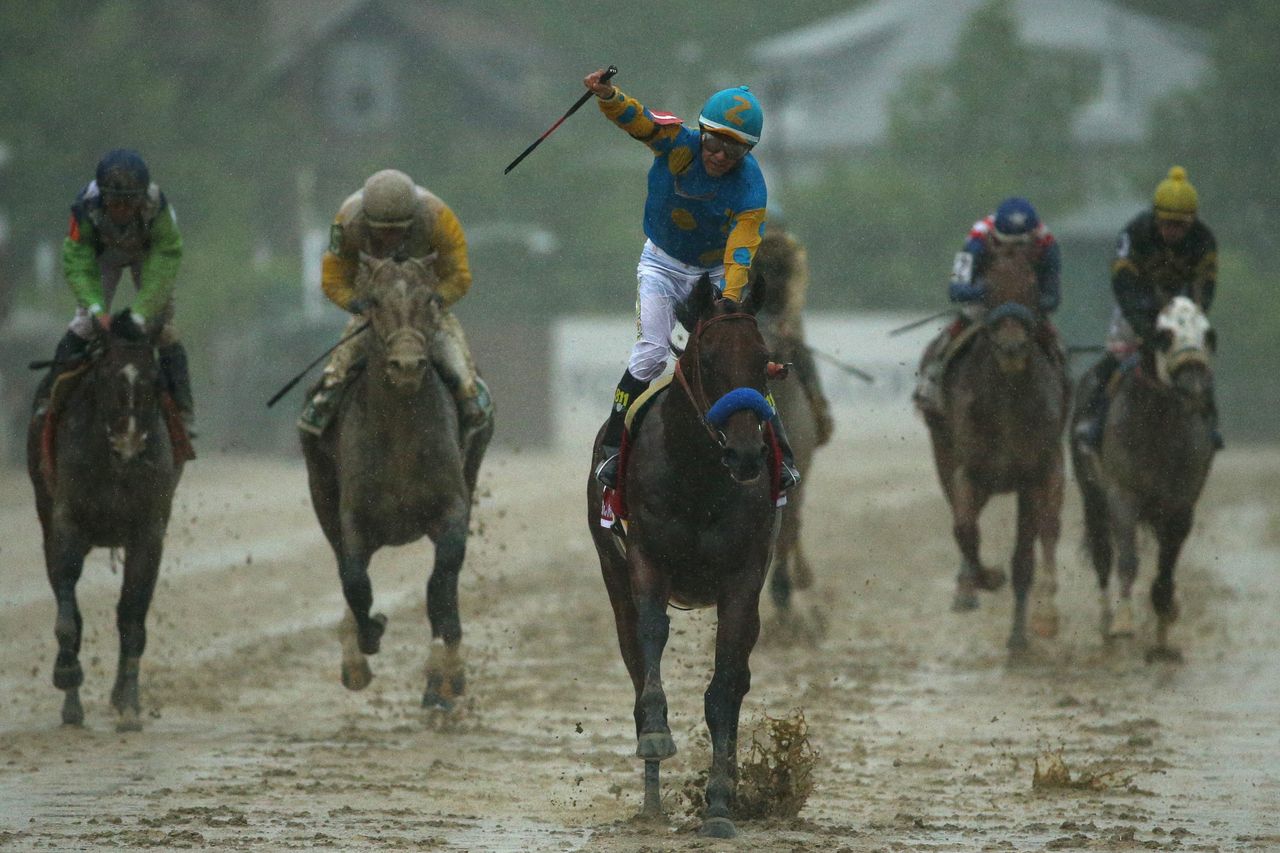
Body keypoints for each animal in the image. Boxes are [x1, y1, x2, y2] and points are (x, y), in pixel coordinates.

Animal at [26, 315, 186, 727]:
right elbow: (69, 616)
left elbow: (131, 618)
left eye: (155, 378)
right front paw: (67, 680)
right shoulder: (65, 525)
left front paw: (129, 705)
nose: (128, 445)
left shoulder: (148, 533)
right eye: (105, 375)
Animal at [302, 256, 491, 706]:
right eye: (372, 300)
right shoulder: (353, 516)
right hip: (321, 492)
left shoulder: (452, 508)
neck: (401, 435)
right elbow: (354, 580)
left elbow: (441, 584)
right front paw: (366, 639)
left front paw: (444, 675)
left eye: (431, 298)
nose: (406, 364)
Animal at [588, 274, 778, 835]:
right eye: (709, 361)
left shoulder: (744, 575)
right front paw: (656, 734)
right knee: (635, 661)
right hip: (612, 573)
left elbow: (725, 689)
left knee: (738, 680)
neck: (698, 477)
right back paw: (651, 801)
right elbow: (651, 642)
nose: (746, 454)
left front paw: (718, 804)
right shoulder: (646, 560)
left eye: (764, 361)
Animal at [921, 245, 1070, 650]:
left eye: (1033, 286)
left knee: (1044, 532)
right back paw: (968, 586)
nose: (1012, 347)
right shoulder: (970, 470)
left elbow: (1031, 550)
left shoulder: (1035, 474)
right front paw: (982, 581)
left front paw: (1037, 623)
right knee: (963, 519)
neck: (1006, 400)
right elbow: (965, 529)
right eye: (987, 288)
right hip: (945, 452)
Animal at [1064, 295, 1213, 660]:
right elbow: (1128, 558)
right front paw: (1123, 623)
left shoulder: (1181, 504)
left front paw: (1164, 624)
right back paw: (1106, 621)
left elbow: (1166, 567)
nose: (1194, 385)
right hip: (1093, 498)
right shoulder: (1122, 494)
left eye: (1207, 333)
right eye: (1164, 335)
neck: (1161, 427)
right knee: (1103, 554)